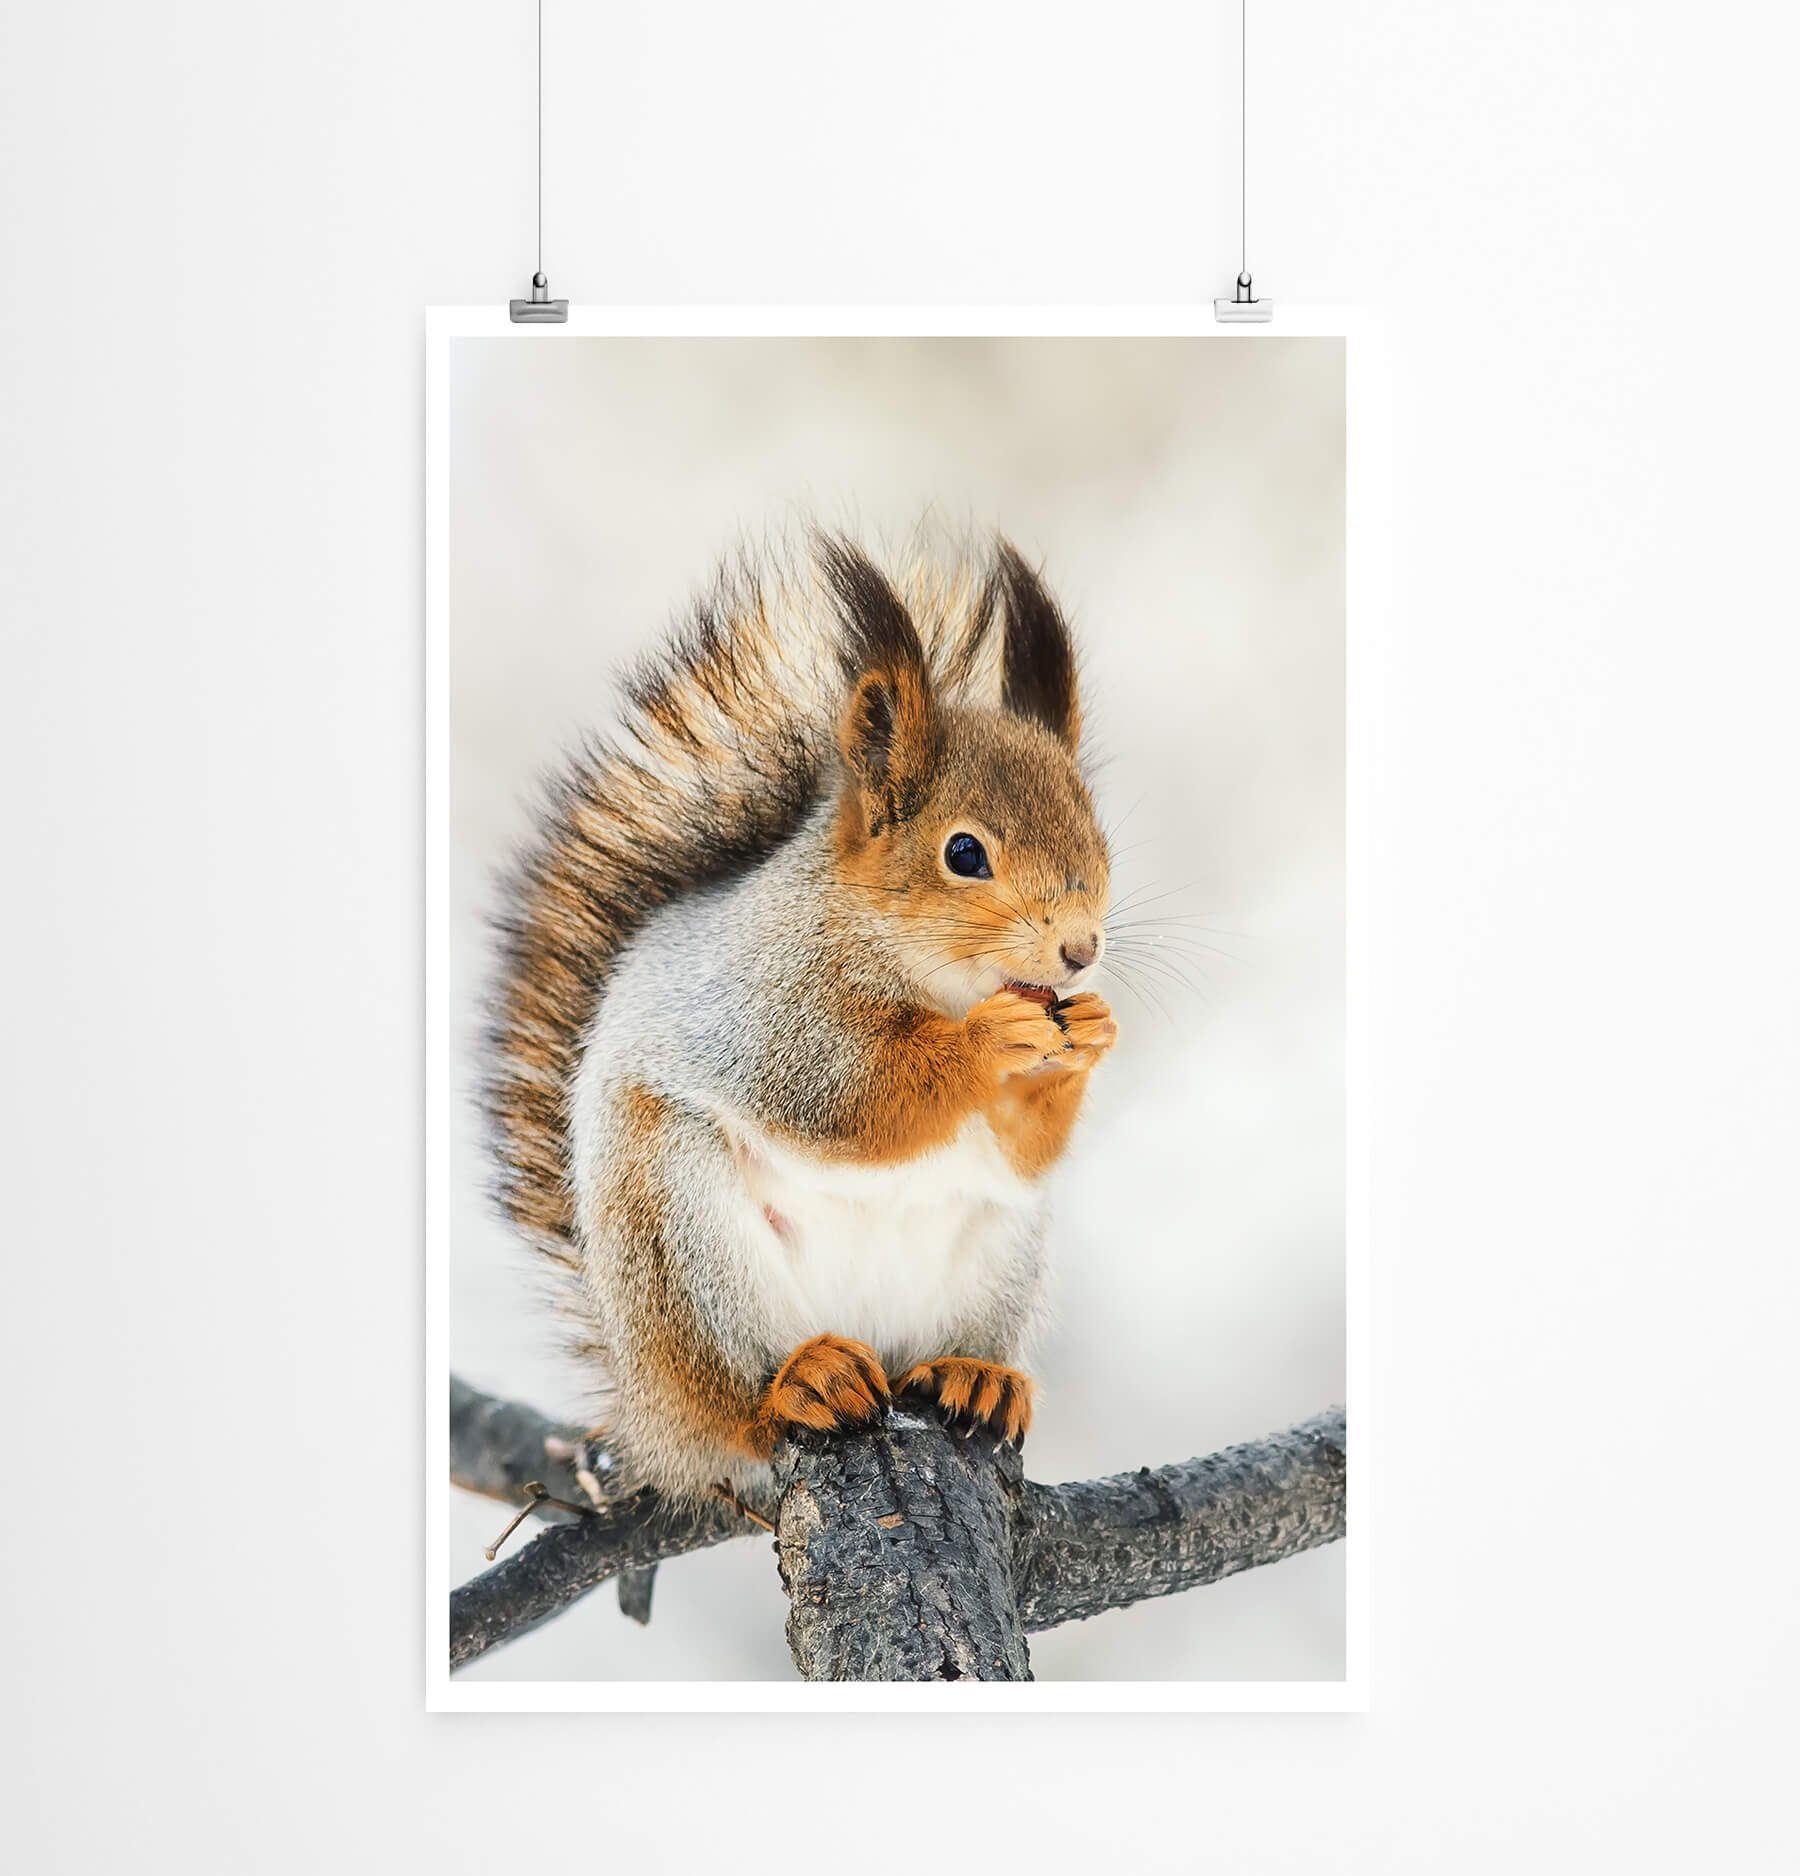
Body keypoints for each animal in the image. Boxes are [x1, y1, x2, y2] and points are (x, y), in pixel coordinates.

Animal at [483, 531, 1117, 1506]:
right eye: (964, 852)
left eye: (1098, 833)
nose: (1081, 950)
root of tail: (648, 1414)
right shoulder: (772, 1010)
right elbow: (850, 1099)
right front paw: (987, 1043)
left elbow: (1023, 1146)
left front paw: (1089, 1038)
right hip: (681, 1242)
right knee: (734, 1403)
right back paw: (800, 1382)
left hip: (998, 1255)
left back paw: (974, 1374)